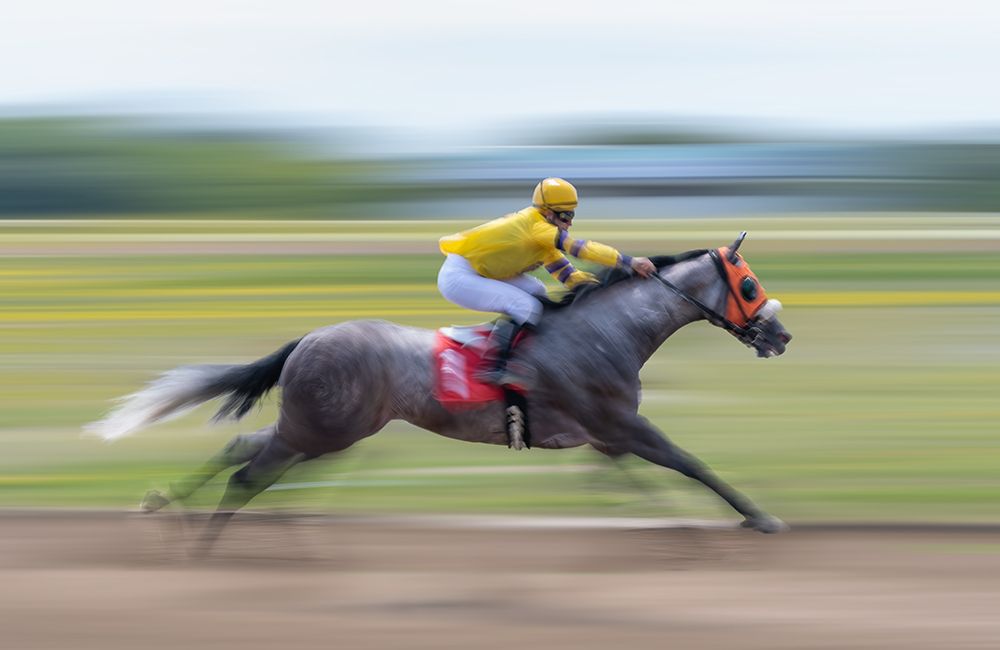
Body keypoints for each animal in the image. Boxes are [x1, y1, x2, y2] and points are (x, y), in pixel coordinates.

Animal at [86, 233, 792, 549]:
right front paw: (757, 517)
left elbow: (630, 478)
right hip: (324, 428)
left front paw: (677, 525)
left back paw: (170, 505)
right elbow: (689, 463)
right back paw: (205, 542)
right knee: (250, 471)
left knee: (244, 448)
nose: (781, 334)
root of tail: (309, 338)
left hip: (324, 428)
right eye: (749, 285)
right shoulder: (620, 424)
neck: (606, 330)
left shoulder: (604, 436)